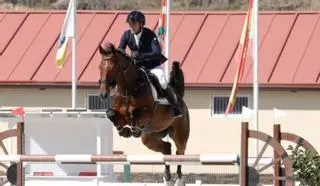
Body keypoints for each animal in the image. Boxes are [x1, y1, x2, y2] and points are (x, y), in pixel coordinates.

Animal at [97, 42, 190, 185]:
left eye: (114, 67)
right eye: (100, 67)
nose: (103, 94)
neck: (128, 90)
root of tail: (179, 97)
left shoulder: (148, 113)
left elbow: (136, 115)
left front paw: (133, 130)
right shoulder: (120, 115)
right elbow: (111, 113)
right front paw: (123, 131)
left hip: (179, 133)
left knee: (180, 152)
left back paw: (179, 178)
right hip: (150, 137)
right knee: (166, 148)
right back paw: (167, 177)